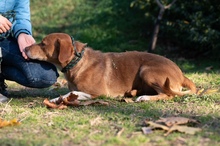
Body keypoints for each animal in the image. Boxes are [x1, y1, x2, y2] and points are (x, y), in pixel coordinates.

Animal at [24, 32, 197, 101]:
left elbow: (73, 93)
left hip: (146, 71)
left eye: (43, 44)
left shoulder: (98, 93)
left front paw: (55, 99)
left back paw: (144, 97)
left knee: (168, 94)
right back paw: (133, 92)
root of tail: (181, 74)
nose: (24, 48)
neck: (77, 62)